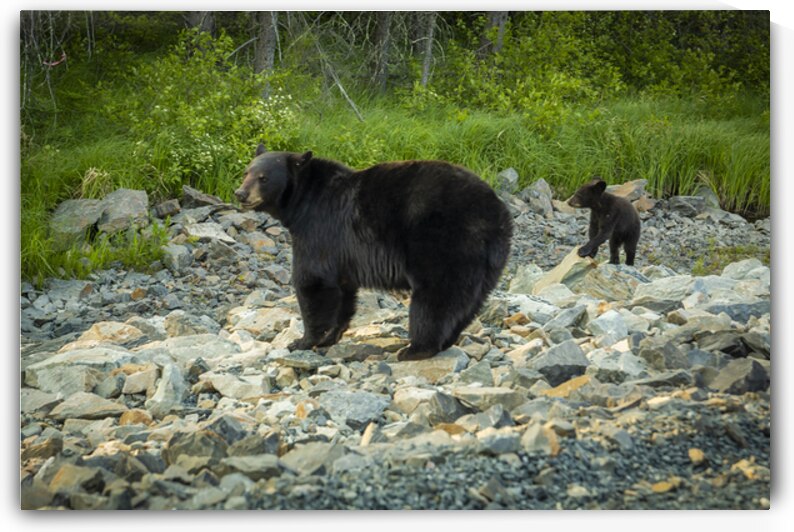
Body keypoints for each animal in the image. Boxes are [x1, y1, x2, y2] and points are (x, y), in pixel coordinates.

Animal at [234, 144, 513, 361]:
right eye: (247, 172)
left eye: (263, 177)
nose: (240, 193)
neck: (302, 201)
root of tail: (495, 211)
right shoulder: (342, 254)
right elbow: (343, 293)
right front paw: (331, 336)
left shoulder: (319, 230)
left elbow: (313, 281)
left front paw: (303, 341)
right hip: (491, 259)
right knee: (470, 302)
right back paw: (446, 341)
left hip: (443, 242)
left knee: (436, 297)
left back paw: (416, 349)